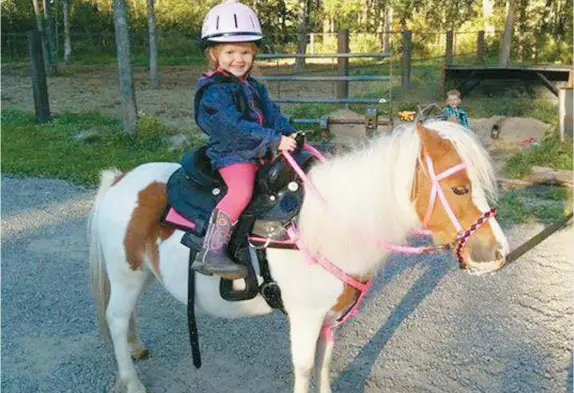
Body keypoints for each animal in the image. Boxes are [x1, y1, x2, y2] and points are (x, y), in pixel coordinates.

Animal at [89, 121, 508, 392]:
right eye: (459, 188)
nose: (498, 252)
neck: (328, 225)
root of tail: (121, 178)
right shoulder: (305, 318)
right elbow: (305, 367)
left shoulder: (330, 318)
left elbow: (325, 362)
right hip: (125, 274)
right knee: (116, 318)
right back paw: (131, 381)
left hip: (140, 274)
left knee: (128, 316)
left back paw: (136, 347)